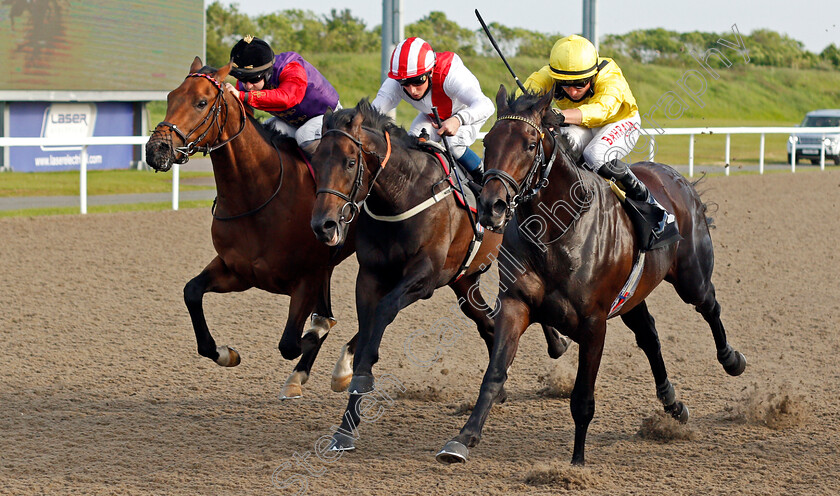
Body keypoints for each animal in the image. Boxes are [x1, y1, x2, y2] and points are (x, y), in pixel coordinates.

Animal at [146, 57, 356, 400]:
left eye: (201, 102)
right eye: (170, 97)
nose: (156, 150)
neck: (259, 193)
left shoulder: (305, 279)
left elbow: (292, 341)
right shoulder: (239, 270)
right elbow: (192, 292)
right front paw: (225, 353)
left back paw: (342, 369)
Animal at [436, 87, 744, 466]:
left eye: (530, 144)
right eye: (489, 140)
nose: (492, 205)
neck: (555, 230)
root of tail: (675, 178)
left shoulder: (594, 324)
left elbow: (583, 399)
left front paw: (577, 462)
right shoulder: (516, 305)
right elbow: (493, 374)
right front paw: (462, 439)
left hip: (691, 277)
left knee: (709, 306)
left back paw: (731, 359)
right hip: (632, 297)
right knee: (650, 337)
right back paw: (673, 404)